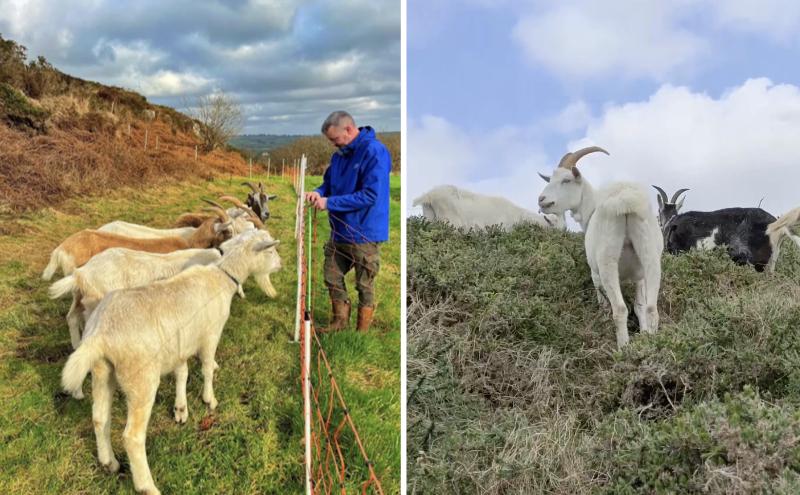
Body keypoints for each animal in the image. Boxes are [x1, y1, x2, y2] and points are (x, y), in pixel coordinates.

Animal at [61, 230, 281, 495]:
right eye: (270, 251)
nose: (281, 265)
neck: (221, 276)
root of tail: (101, 334)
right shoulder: (210, 334)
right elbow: (207, 367)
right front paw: (210, 399)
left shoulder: (180, 344)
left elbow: (182, 372)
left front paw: (181, 409)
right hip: (141, 379)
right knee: (132, 437)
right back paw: (147, 485)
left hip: (103, 371)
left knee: (99, 418)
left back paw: (109, 462)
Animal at [538, 147, 663, 348]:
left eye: (566, 180)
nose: (542, 200)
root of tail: (625, 199)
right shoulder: (640, 277)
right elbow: (640, 306)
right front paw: (644, 336)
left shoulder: (595, 274)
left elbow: (604, 305)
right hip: (650, 255)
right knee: (652, 308)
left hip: (606, 262)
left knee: (619, 309)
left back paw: (623, 349)